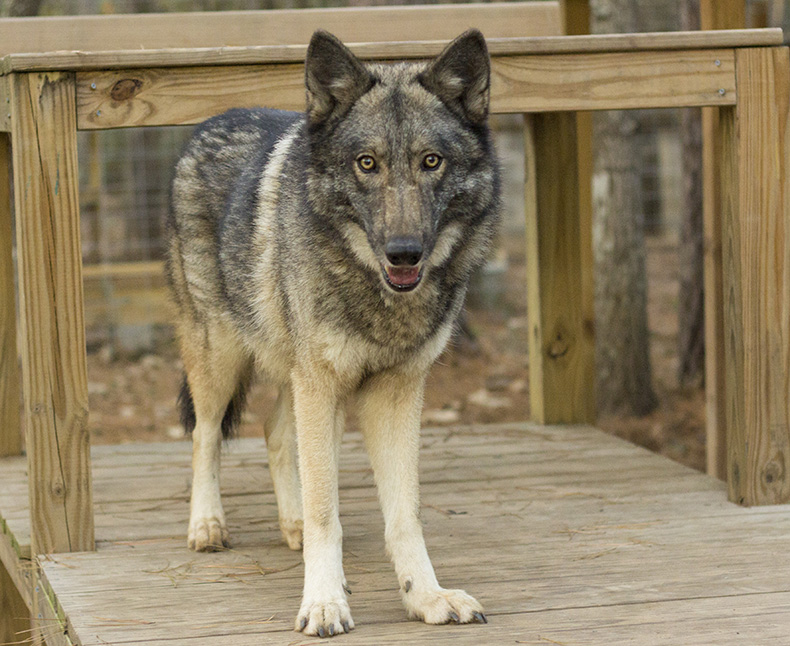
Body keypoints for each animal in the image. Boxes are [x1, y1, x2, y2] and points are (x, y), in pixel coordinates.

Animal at [166, 29, 502, 636]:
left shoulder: (395, 393)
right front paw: (324, 602)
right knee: (205, 433)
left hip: (293, 373)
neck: (376, 294)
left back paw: (291, 525)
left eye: (431, 161)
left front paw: (427, 597)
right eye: (367, 163)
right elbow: (328, 511)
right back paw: (207, 526)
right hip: (222, 356)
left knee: (275, 431)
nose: (403, 253)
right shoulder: (320, 385)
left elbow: (405, 515)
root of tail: (210, 121)